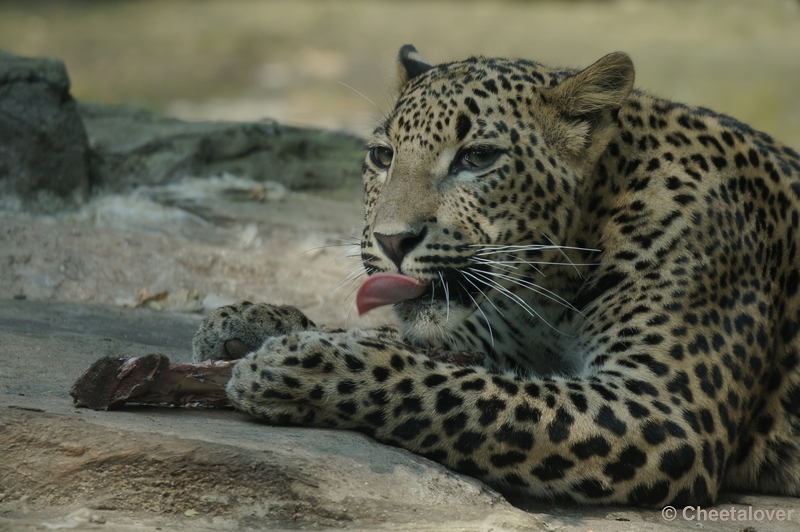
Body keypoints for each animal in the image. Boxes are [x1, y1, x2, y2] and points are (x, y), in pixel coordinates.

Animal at [192, 45, 800, 508]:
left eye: (478, 157)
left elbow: (453, 392)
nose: (392, 241)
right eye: (382, 156)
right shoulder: (505, 343)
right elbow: (423, 351)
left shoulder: (664, 412)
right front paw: (253, 322)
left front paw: (297, 365)